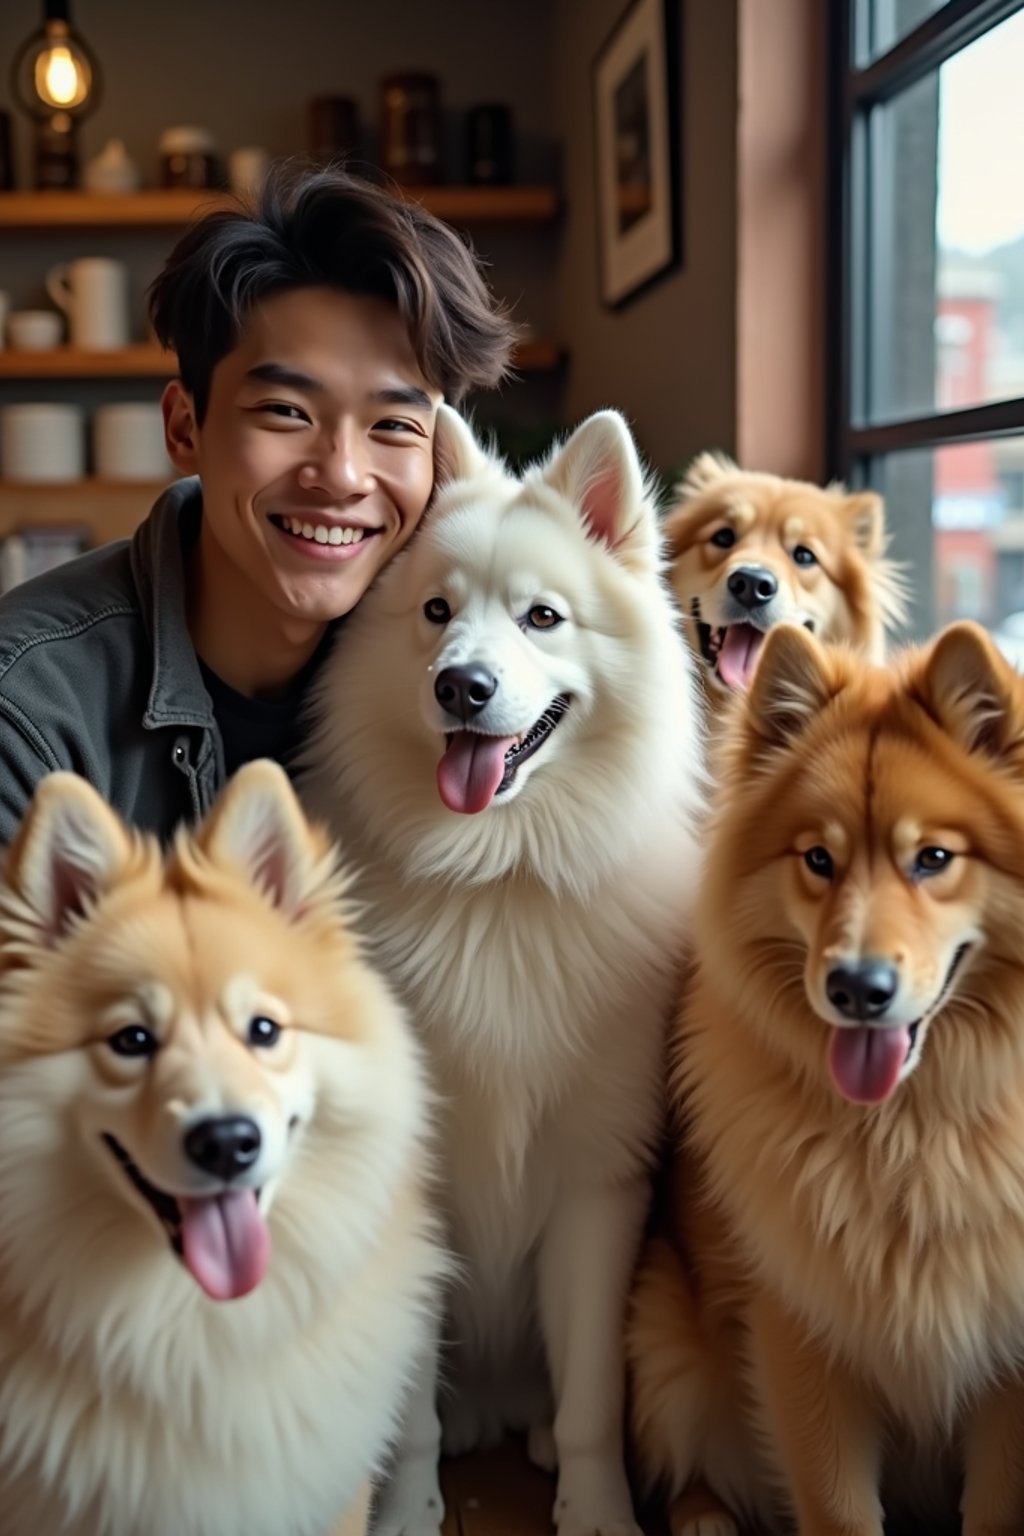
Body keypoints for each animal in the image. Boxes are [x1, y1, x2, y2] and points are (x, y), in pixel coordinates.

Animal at [626, 623, 1024, 1536]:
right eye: (818, 858)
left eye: (934, 858)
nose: (856, 988)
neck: (916, 1129)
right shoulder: (802, 1335)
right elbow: (838, 1509)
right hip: (664, 1344)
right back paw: (706, 1520)